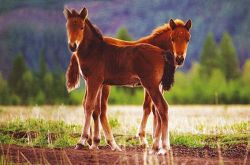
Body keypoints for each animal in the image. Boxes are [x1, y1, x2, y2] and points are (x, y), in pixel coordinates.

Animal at [63, 7, 181, 155]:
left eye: (81, 27)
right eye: (68, 26)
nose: (72, 46)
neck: (94, 51)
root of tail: (162, 52)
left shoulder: (93, 80)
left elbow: (89, 106)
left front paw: (81, 141)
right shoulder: (98, 83)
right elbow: (95, 108)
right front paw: (94, 143)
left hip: (151, 85)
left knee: (162, 107)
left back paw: (162, 148)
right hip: (156, 85)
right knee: (159, 110)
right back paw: (159, 147)